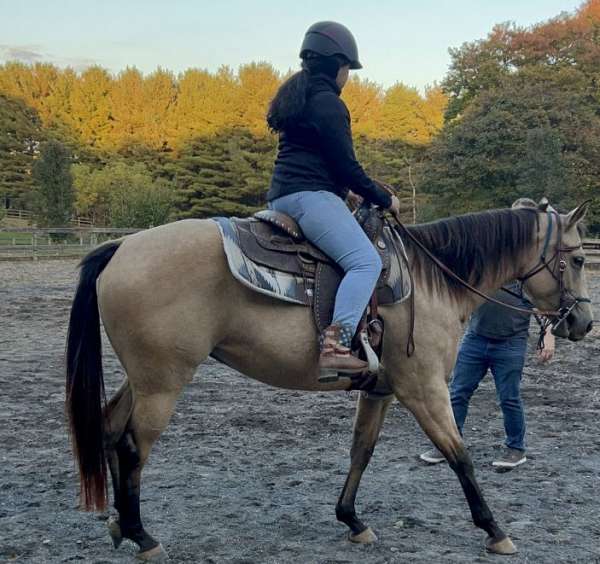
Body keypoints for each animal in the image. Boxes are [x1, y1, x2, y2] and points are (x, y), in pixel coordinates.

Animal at [67, 198, 596, 560]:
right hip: (163, 385)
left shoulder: (381, 391)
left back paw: (120, 526)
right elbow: (459, 456)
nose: (583, 324)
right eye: (577, 259)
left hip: (142, 381)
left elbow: (361, 451)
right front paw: (494, 530)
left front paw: (352, 520)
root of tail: (122, 246)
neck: (431, 283)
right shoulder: (424, 389)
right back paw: (142, 536)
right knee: (132, 448)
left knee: (110, 430)